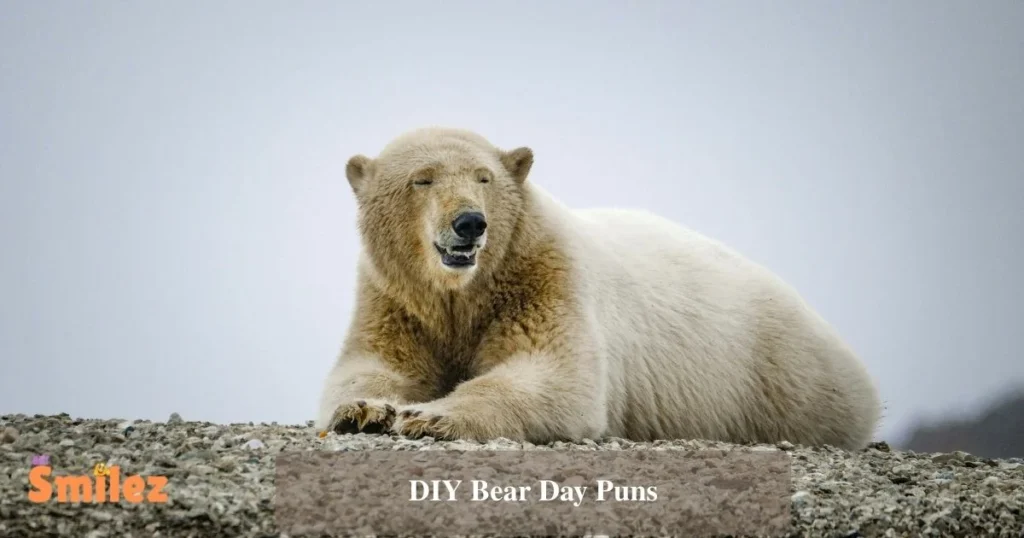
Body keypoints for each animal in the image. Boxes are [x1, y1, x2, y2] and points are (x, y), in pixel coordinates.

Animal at [315, 126, 883, 451]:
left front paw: (428, 416)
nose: (470, 223)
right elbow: (375, 365)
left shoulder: (544, 277)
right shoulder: (396, 299)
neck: (465, 291)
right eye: (423, 178)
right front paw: (365, 411)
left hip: (777, 375)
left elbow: (554, 375)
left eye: (483, 178)